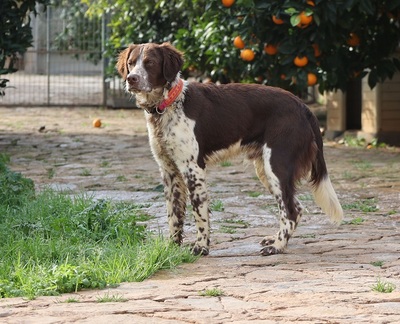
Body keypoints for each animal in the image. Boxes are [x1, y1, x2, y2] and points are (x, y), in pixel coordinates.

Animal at [116, 42, 344, 256]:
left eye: (150, 63)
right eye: (131, 63)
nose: (132, 79)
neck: (167, 104)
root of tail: (302, 106)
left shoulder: (193, 169)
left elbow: (199, 213)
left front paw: (201, 247)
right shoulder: (169, 171)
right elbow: (173, 215)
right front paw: (171, 247)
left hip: (277, 166)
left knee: (290, 211)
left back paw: (277, 247)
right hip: (265, 170)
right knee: (296, 207)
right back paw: (275, 239)